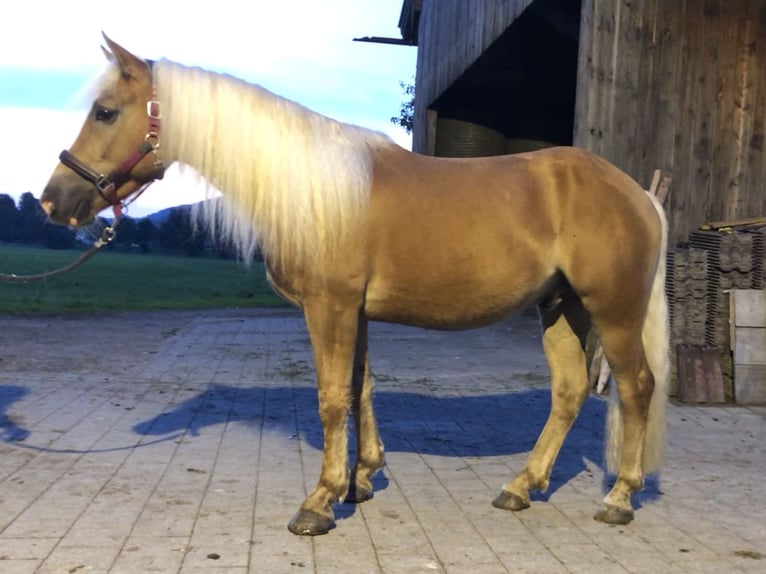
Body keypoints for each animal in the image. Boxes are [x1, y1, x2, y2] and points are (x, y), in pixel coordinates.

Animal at [40, 35, 669, 537]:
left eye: (104, 112)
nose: (53, 201)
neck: (313, 189)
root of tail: (637, 192)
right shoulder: (357, 312)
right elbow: (360, 388)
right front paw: (360, 480)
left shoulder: (330, 307)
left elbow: (331, 398)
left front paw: (320, 501)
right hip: (562, 307)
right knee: (568, 391)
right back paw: (522, 486)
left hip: (612, 311)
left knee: (636, 387)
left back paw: (619, 498)